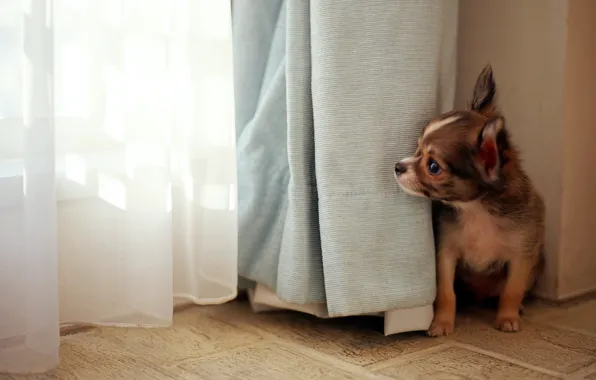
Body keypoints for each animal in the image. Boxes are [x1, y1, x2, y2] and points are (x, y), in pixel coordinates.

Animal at [396, 64, 544, 336]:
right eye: (416, 149)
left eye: (433, 166)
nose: (397, 166)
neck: (476, 210)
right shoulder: (446, 254)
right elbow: (446, 293)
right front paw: (442, 323)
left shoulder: (521, 256)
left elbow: (512, 290)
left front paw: (507, 318)